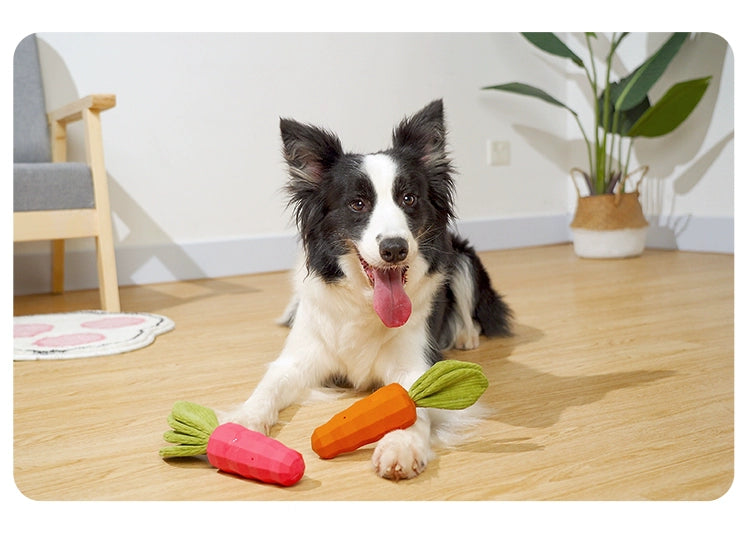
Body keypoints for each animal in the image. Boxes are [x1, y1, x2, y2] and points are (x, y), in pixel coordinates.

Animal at [229, 100, 512, 482]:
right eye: (357, 204)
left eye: (409, 198)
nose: (394, 249)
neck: (364, 304)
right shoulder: (299, 358)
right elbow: (267, 388)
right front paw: (241, 424)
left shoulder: (415, 361)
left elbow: (413, 402)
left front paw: (401, 446)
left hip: (463, 259)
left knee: (471, 313)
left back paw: (466, 336)